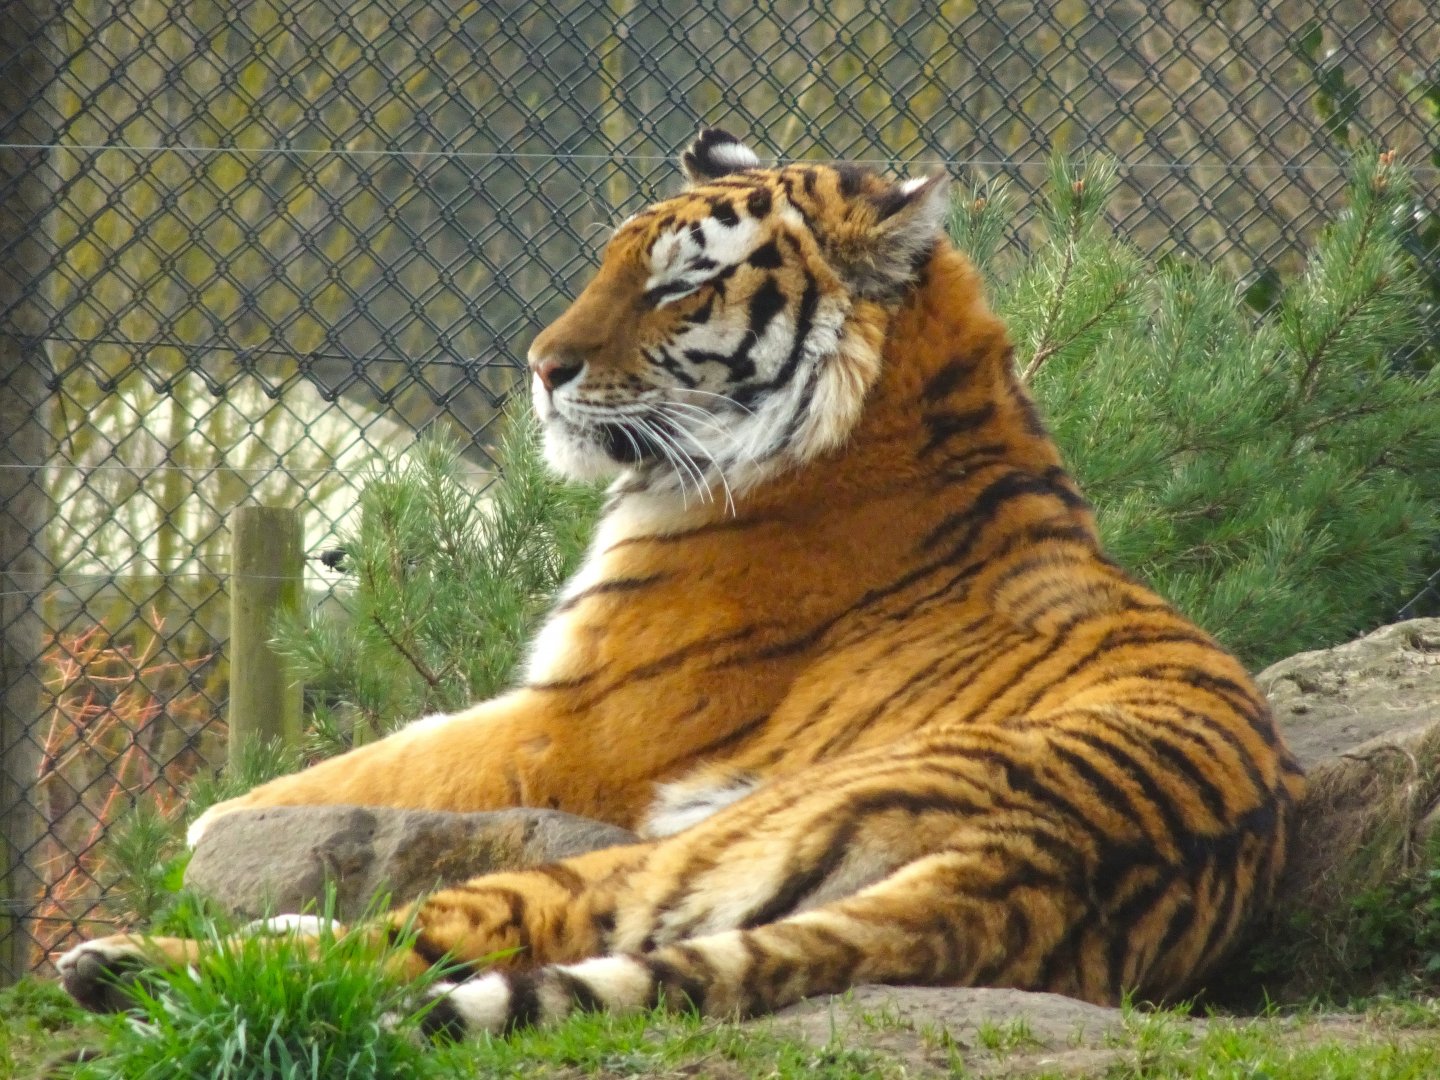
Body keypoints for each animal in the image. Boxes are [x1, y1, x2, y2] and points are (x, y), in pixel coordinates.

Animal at [58, 128, 1304, 1038]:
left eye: (678, 289)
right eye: (610, 263)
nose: (541, 367)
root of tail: (1039, 866)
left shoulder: (571, 724)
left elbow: (363, 766)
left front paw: (204, 827)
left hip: (656, 856)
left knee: (409, 949)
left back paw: (120, 962)